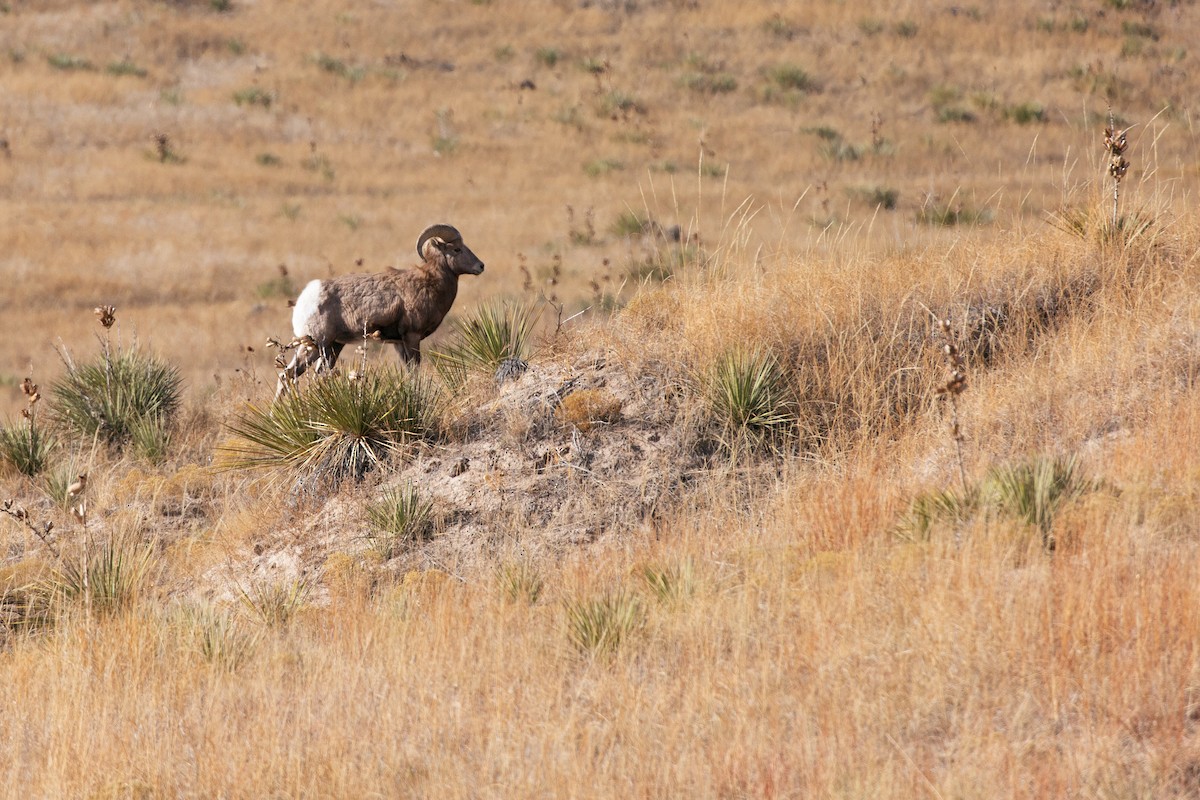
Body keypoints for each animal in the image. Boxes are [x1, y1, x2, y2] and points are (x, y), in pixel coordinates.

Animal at [275, 223, 484, 397]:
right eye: (456, 249)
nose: (481, 266)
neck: (429, 284)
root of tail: (306, 297)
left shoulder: (399, 343)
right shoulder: (412, 337)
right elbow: (415, 372)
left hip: (332, 347)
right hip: (315, 344)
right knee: (287, 375)